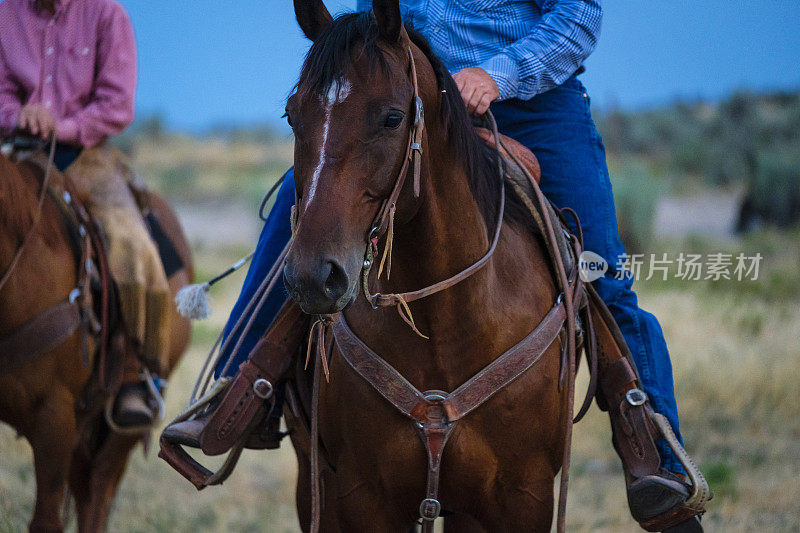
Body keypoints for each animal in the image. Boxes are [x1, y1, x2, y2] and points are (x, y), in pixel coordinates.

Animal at [282, 2, 576, 528]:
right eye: (292, 115)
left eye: (392, 118)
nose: (313, 277)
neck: (445, 328)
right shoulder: (360, 496)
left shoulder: (524, 497)